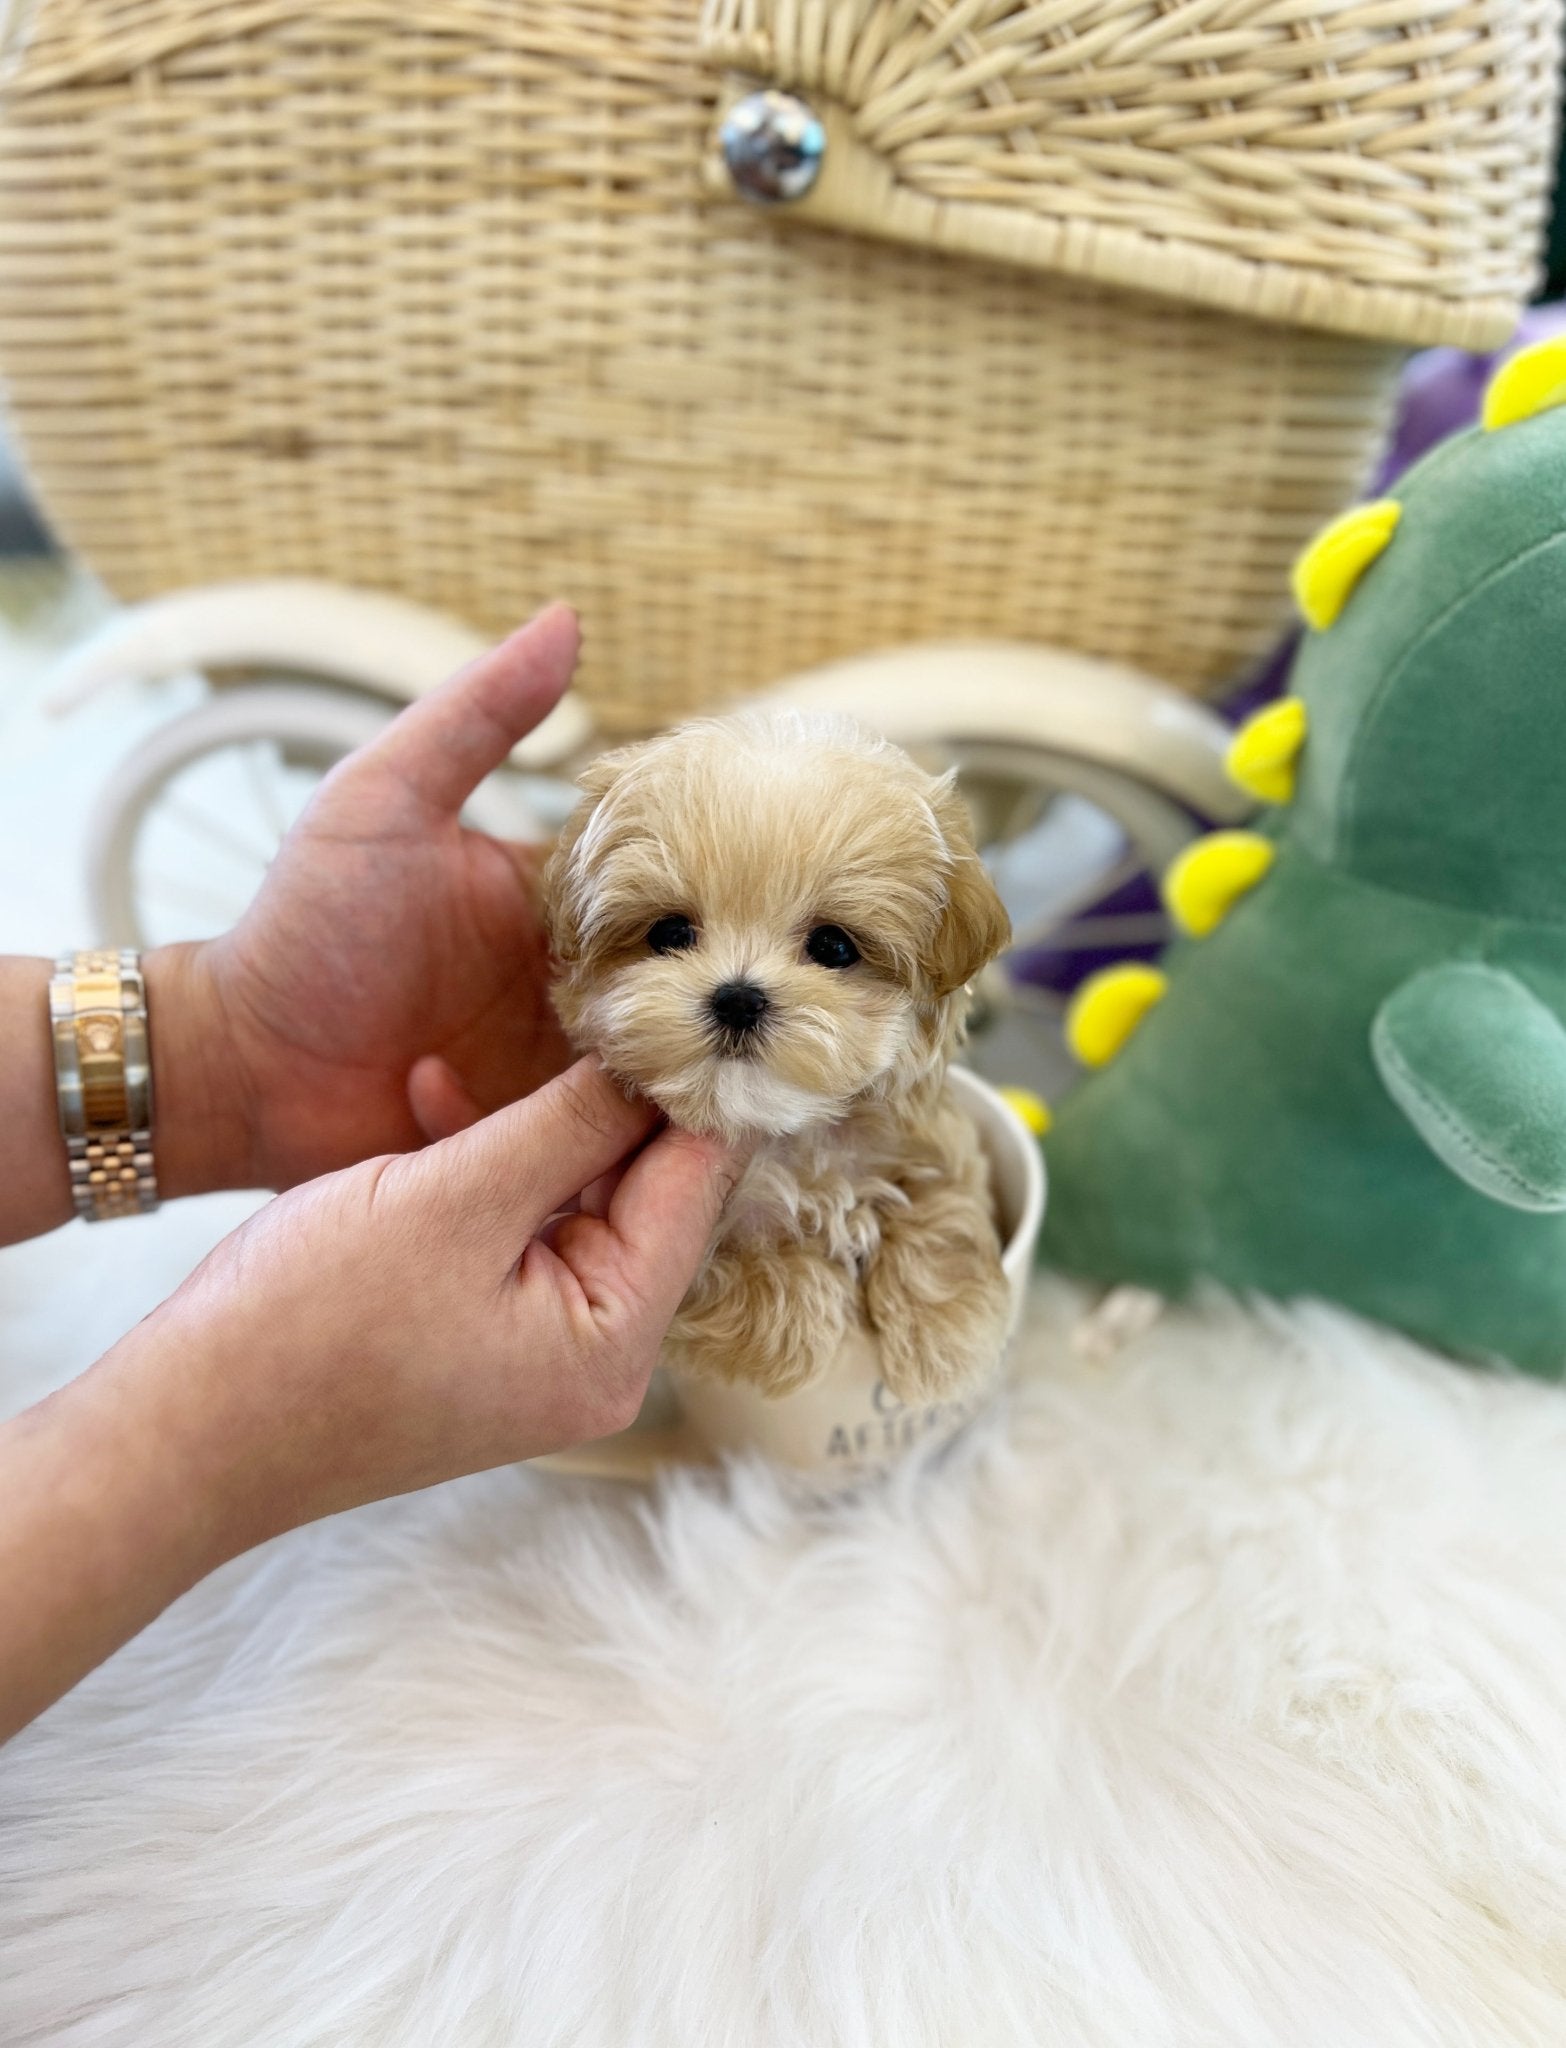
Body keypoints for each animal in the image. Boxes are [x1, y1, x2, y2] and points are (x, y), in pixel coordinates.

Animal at [544, 712, 1015, 1400]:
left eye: (834, 946)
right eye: (669, 933)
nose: (738, 998)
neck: (788, 1130)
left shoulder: (935, 1140)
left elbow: (942, 1212)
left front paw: (948, 1339)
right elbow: (750, 1270)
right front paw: (801, 1314)